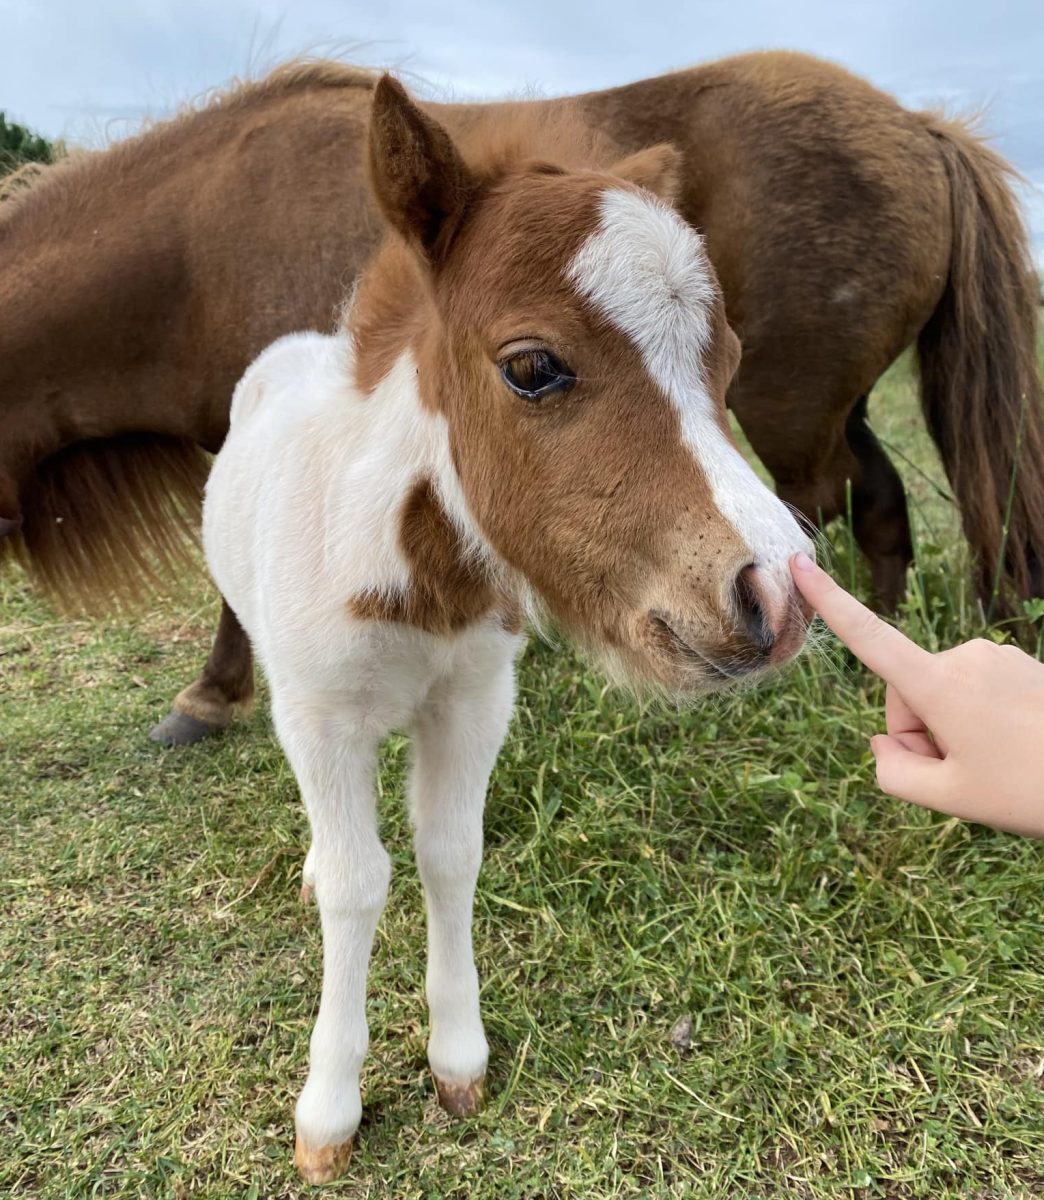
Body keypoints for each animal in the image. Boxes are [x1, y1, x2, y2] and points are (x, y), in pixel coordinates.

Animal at [2, 51, 1044, 744]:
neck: (196, 250)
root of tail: (917, 126)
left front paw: (213, 696)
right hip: (835, 407)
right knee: (876, 503)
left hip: (795, 412)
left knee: (823, 504)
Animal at [202, 79, 811, 1185]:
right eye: (533, 368)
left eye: (731, 363)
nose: (779, 597)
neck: (420, 580)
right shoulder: (322, 714)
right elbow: (357, 884)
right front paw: (329, 1111)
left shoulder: (476, 702)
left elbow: (449, 854)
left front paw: (458, 1063)